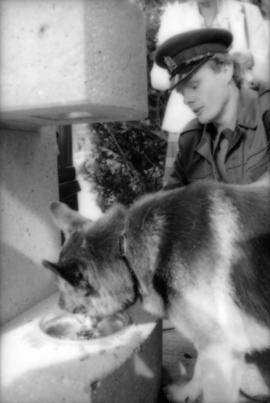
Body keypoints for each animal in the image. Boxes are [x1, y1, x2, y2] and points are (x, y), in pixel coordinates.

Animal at [42, 180, 270, 403]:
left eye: (76, 310)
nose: (83, 333)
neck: (124, 247)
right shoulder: (212, 347)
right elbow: (200, 371)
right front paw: (186, 393)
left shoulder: (221, 350)